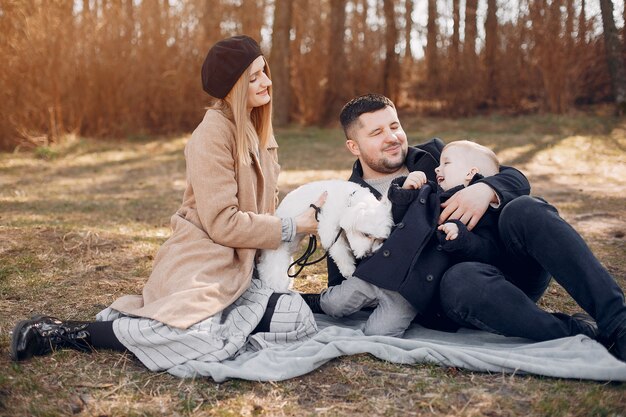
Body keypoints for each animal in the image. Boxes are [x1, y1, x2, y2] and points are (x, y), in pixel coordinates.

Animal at [254, 180, 390, 292]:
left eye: (379, 239)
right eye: (366, 234)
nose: (368, 254)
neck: (348, 199)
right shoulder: (330, 232)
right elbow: (341, 253)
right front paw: (349, 270)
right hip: (277, 261)